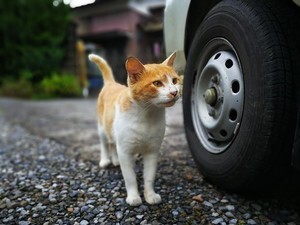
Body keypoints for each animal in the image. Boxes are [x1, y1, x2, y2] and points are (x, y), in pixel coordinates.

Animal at [88, 52, 179, 206]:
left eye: (174, 81)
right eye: (157, 83)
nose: (174, 92)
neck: (147, 116)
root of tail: (111, 83)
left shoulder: (152, 151)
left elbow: (149, 176)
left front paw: (150, 195)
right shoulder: (125, 151)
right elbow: (130, 178)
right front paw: (133, 197)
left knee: (113, 144)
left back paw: (115, 160)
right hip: (102, 128)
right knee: (105, 144)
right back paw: (105, 160)